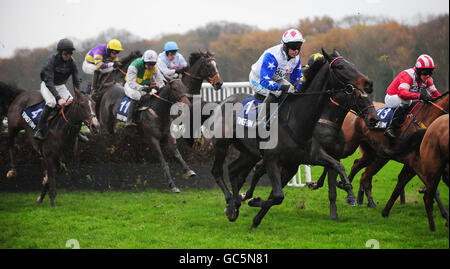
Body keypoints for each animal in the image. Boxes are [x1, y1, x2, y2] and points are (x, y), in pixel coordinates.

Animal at [207, 49, 376, 227]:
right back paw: (231, 200)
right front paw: (253, 202)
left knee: (233, 170)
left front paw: (348, 193)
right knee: (217, 171)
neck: (296, 119)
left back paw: (234, 205)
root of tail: (223, 101)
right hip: (222, 144)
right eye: (340, 66)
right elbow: (277, 195)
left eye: (352, 64)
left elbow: (337, 167)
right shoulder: (272, 159)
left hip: (249, 152)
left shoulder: (304, 159)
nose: (368, 83)